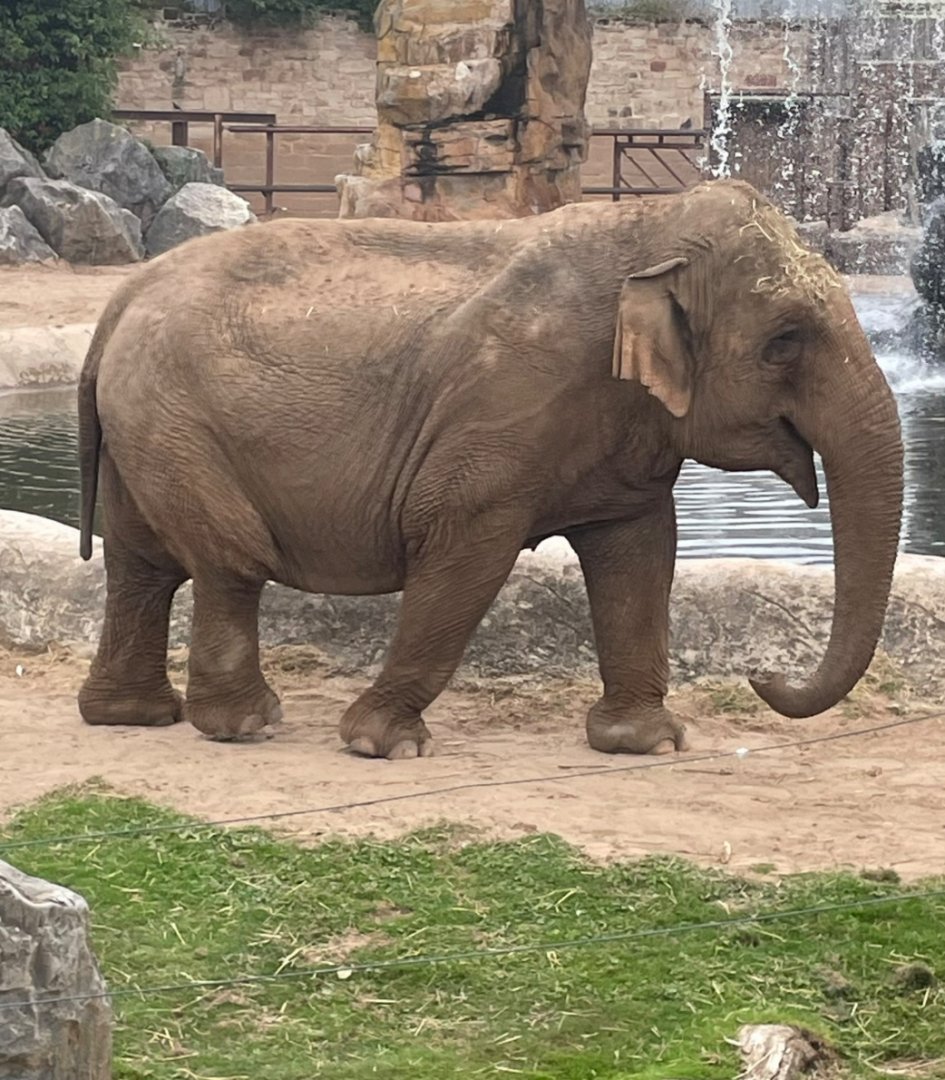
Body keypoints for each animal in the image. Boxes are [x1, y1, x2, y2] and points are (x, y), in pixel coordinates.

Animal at [76, 178, 904, 759]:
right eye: (784, 341)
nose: (761, 674)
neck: (643, 226)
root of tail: (123, 296)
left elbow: (639, 554)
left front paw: (645, 744)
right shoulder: (504, 409)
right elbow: (462, 547)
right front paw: (380, 744)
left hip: (144, 425)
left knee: (140, 563)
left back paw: (132, 716)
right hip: (176, 420)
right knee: (227, 561)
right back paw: (245, 725)